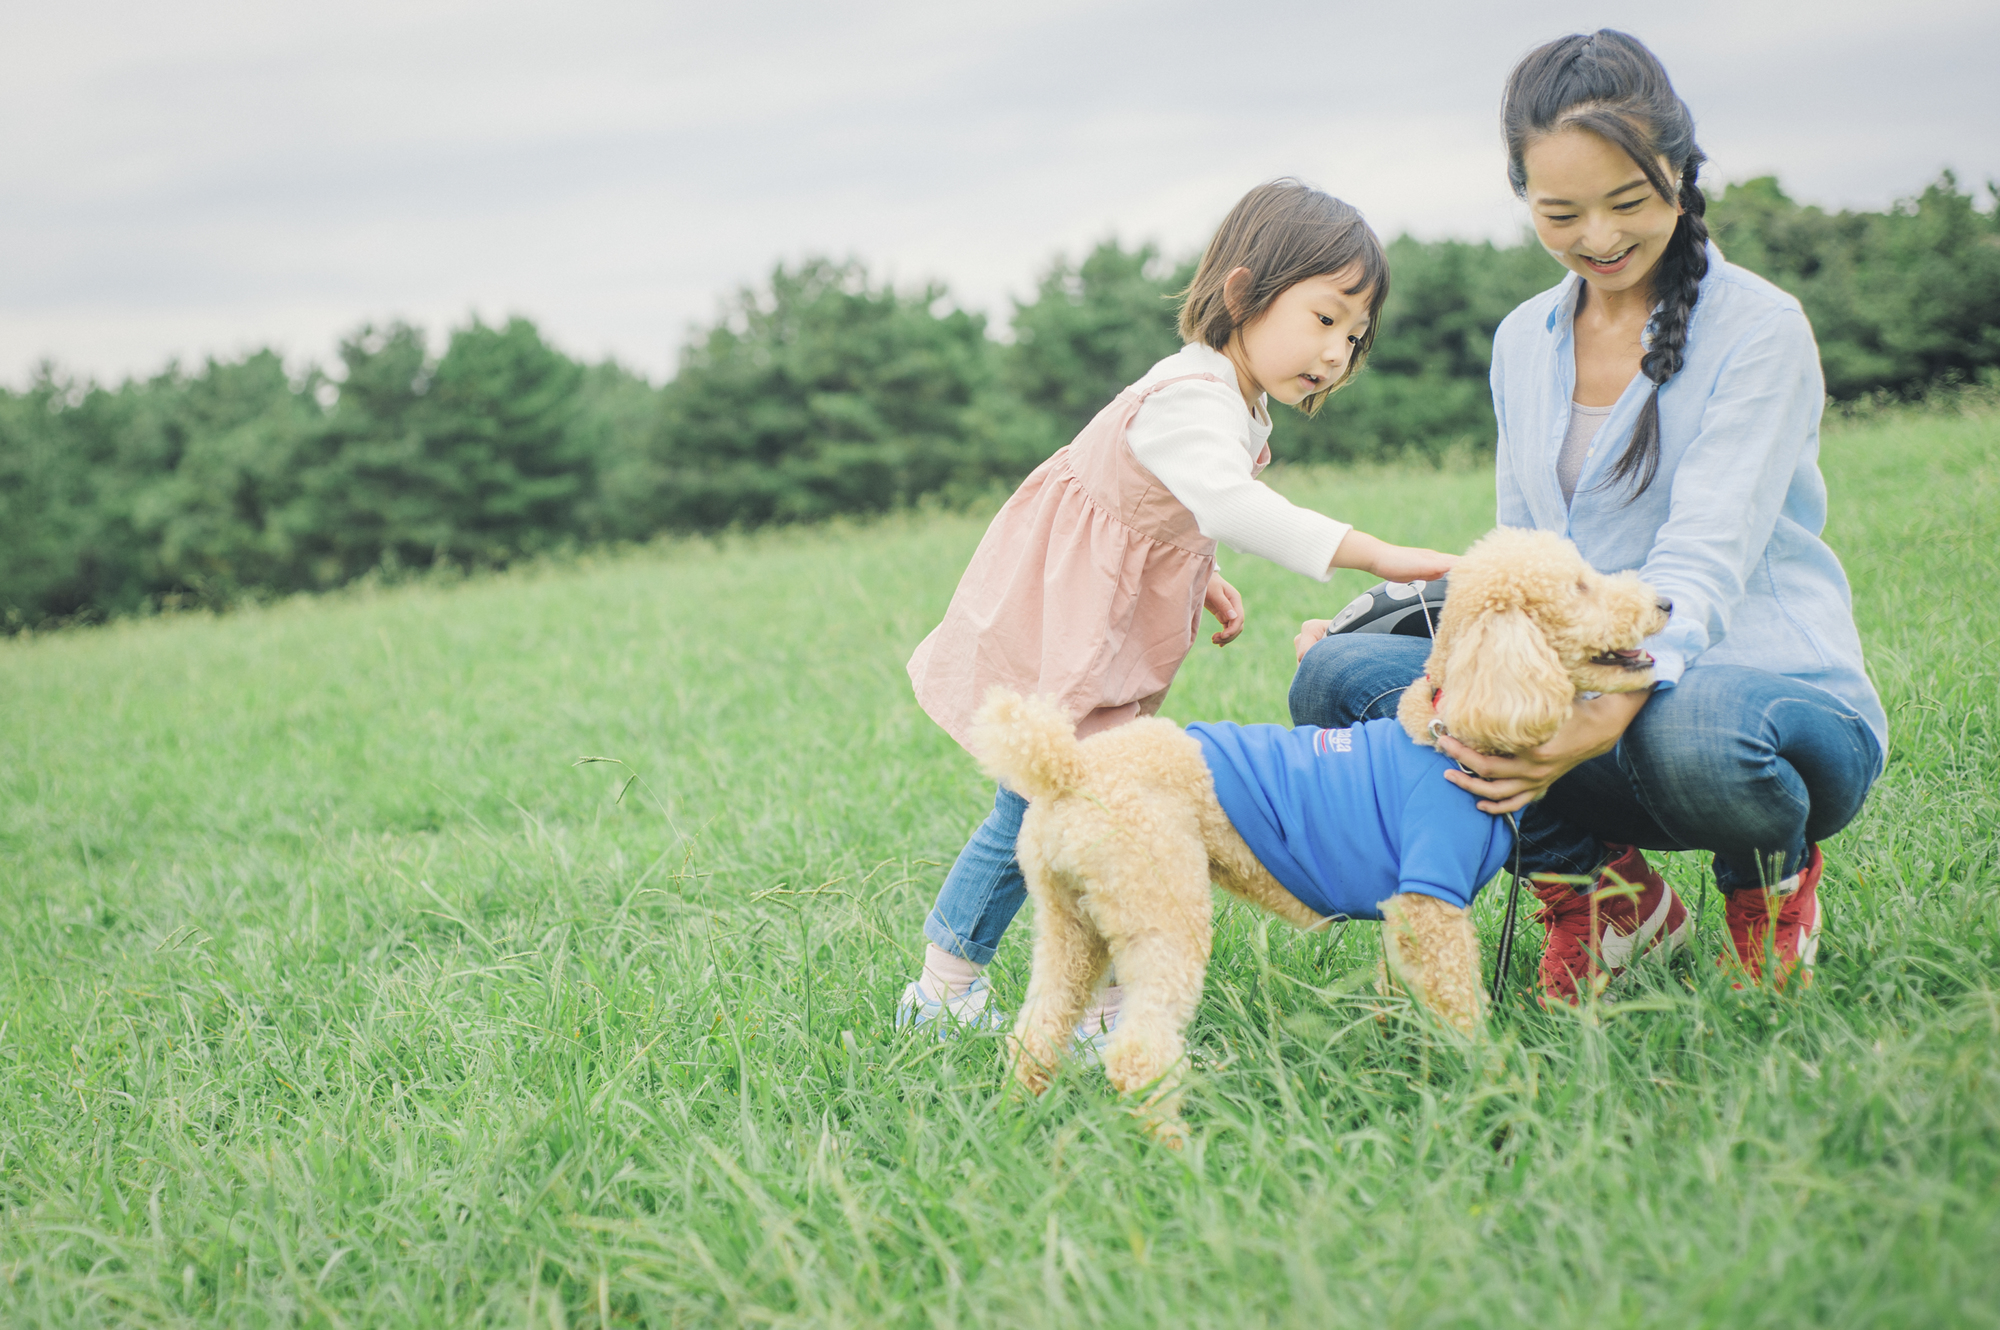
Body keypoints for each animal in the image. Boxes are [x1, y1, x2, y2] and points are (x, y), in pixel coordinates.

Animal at [968, 524, 1672, 1136]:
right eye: (1580, 586)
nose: (1665, 601)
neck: (1446, 730)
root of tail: (1067, 769)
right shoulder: (1433, 903)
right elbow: (1460, 1008)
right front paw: (1491, 1086)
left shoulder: (1401, 916)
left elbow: (1404, 999)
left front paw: (1409, 1069)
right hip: (1163, 906)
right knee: (1139, 1052)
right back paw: (1177, 1149)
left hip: (1072, 926)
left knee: (1037, 1032)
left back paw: (1014, 1120)